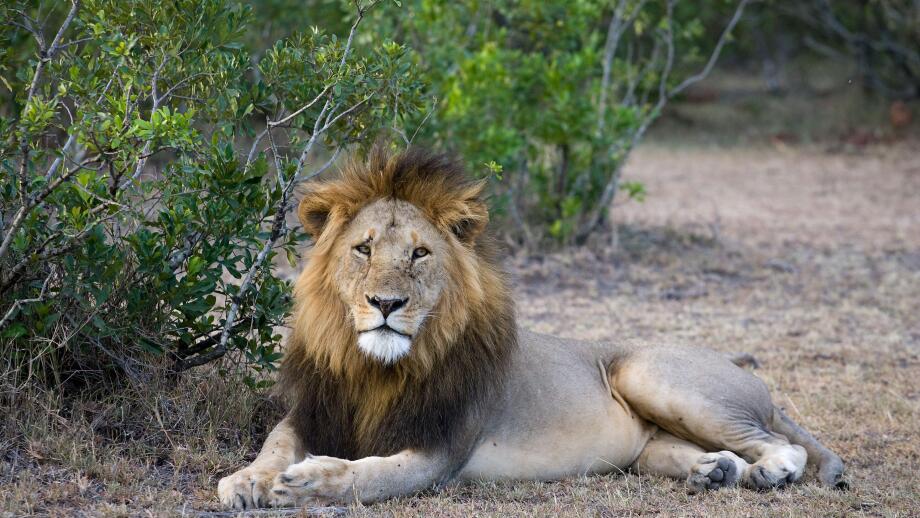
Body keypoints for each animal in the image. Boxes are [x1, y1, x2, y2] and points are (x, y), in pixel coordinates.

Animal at [217, 147, 845, 509]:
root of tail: (747, 375)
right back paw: (714, 472)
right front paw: (245, 481)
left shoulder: (440, 451)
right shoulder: (315, 411)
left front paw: (306, 482)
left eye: (419, 253)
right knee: (715, 453)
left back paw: (768, 474)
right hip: (652, 444)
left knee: (784, 444)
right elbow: (274, 444)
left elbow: (365, 476)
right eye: (363, 249)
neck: (375, 367)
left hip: (653, 375)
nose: (386, 303)